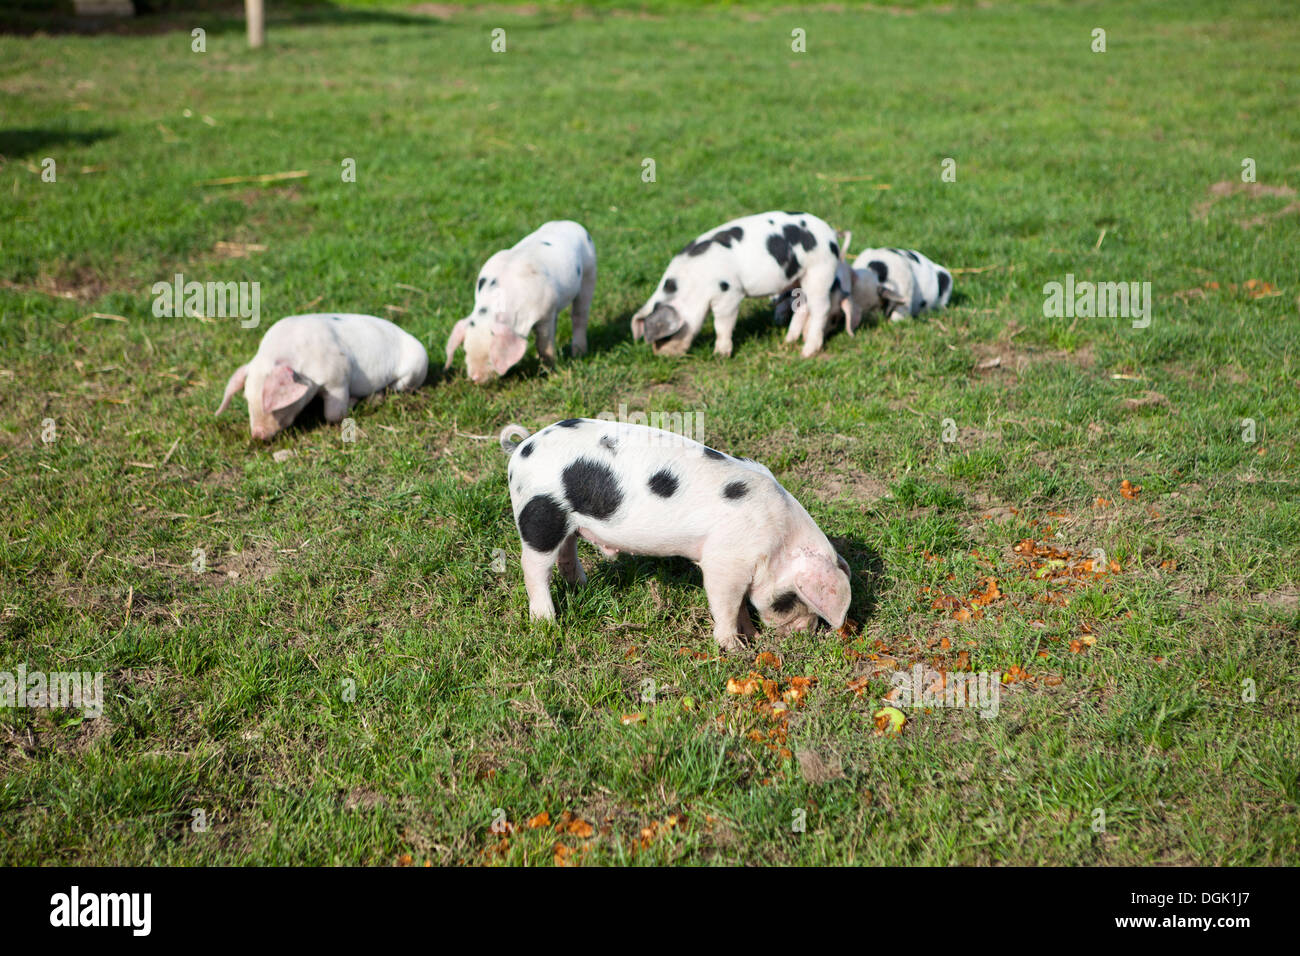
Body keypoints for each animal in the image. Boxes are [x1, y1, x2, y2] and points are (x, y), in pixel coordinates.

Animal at [215, 312, 428, 440]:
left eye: (276, 405)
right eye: (247, 399)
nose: (257, 435)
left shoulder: (338, 378)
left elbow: (333, 415)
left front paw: (348, 406)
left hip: (414, 369)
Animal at [444, 220, 596, 384]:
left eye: (491, 358)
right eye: (465, 350)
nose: (475, 378)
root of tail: (570, 223)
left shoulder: (546, 313)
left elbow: (544, 346)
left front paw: (551, 373)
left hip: (589, 272)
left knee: (579, 315)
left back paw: (579, 353)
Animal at [504, 418, 852, 652]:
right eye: (788, 599)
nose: (806, 633)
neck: (777, 539)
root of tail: (521, 448)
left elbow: (740, 603)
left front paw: (751, 637)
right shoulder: (724, 561)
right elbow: (725, 603)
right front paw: (735, 648)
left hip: (566, 521)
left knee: (567, 549)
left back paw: (582, 585)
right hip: (539, 515)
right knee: (533, 568)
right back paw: (546, 621)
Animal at [630, 211, 848, 358]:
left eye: (665, 337)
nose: (662, 357)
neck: (689, 286)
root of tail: (830, 232)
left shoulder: (729, 294)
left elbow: (721, 325)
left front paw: (720, 356)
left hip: (820, 270)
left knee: (821, 308)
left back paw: (806, 352)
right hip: (799, 278)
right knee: (802, 307)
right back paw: (789, 340)